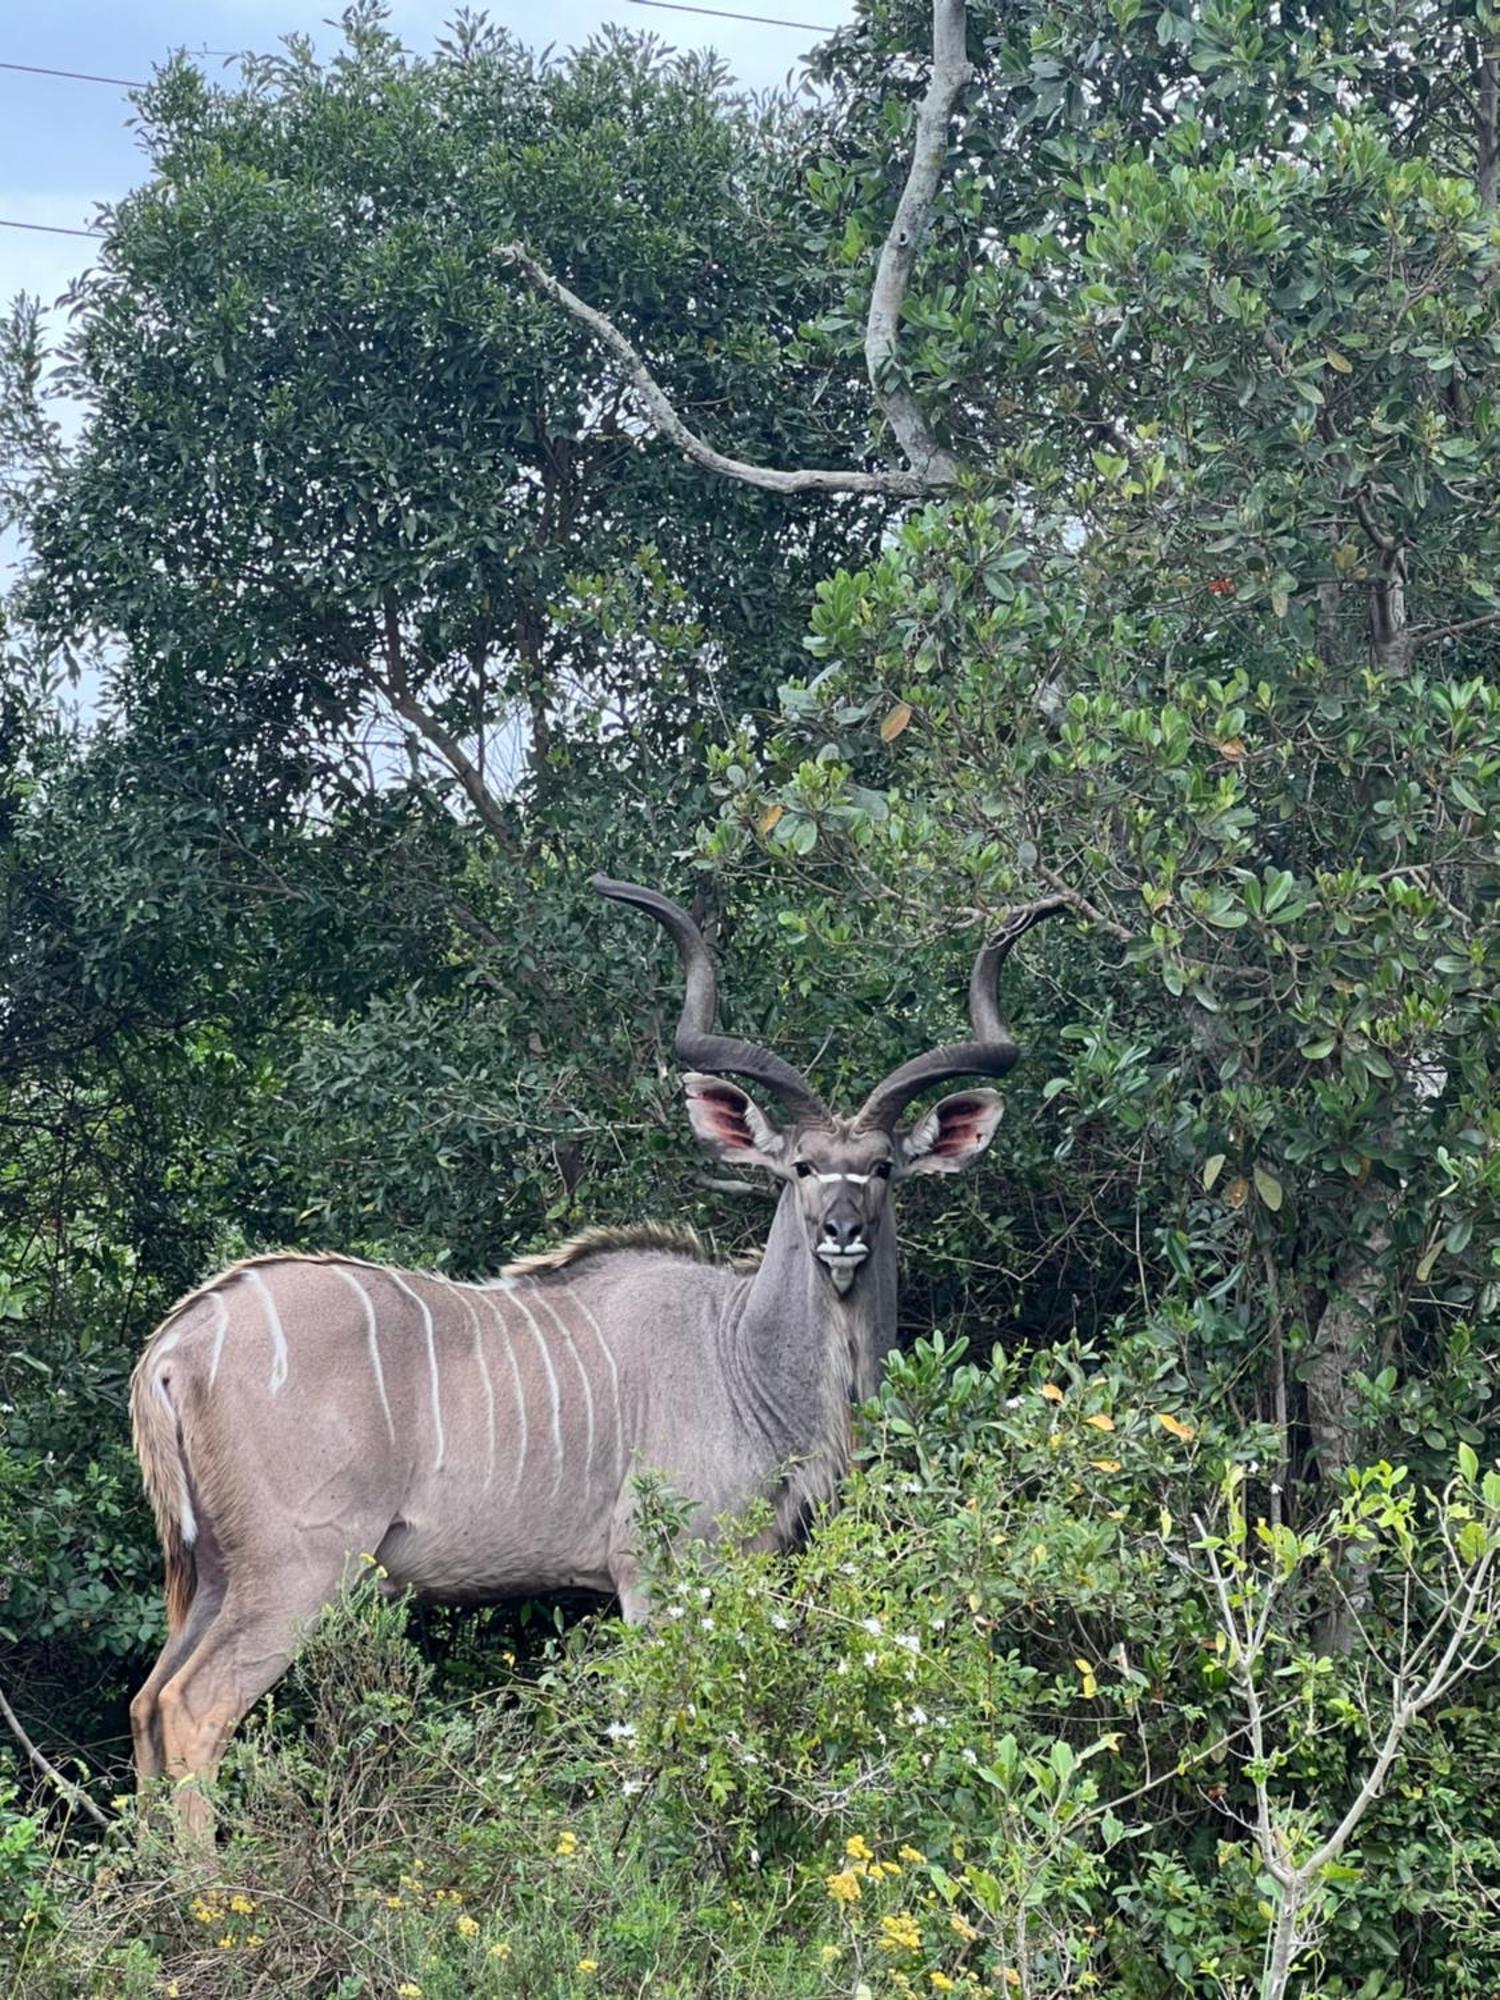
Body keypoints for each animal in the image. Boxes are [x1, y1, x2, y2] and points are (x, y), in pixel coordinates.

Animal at [132, 876, 1072, 1832]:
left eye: (882, 1167)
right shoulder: (658, 1570)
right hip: (299, 1566)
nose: (842, 1234)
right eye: (801, 1167)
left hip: (218, 1570)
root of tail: (176, 1344)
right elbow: (662, 1730)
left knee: (147, 1703)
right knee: (194, 1707)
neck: (739, 1354)